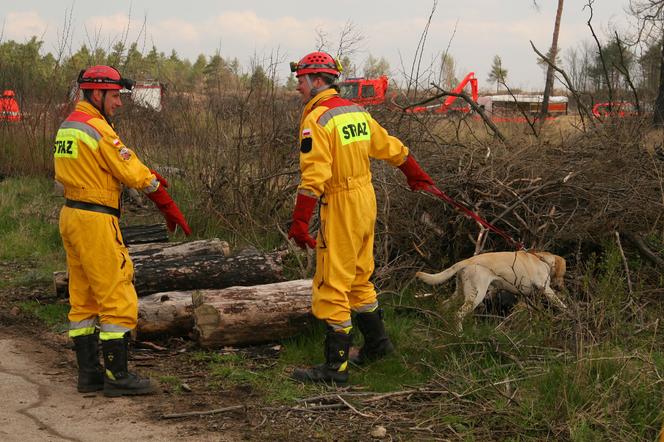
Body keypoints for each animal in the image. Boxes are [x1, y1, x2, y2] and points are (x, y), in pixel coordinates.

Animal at [416, 250, 564, 330]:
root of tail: (467, 261)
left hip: (460, 293)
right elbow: (560, 303)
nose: (561, 287)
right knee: (458, 314)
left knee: (444, 306)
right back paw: (460, 334)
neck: (542, 259)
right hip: (476, 296)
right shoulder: (546, 289)